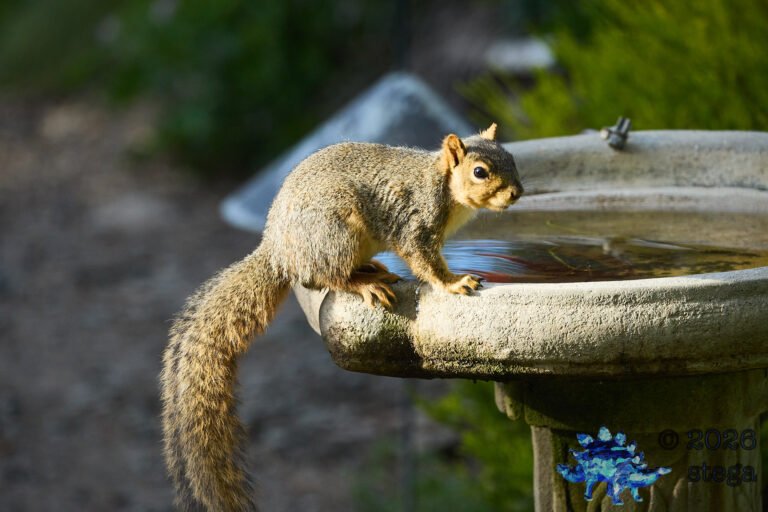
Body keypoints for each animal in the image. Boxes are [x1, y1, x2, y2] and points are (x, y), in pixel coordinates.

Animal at [160, 123, 523, 511]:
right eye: (480, 172)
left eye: (511, 157)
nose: (517, 193)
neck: (441, 184)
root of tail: (279, 252)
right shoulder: (415, 224)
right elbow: (426, 263)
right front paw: (455, 282)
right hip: (337, 233)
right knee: (326, 277)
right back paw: (364, 283)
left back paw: (373, 268)